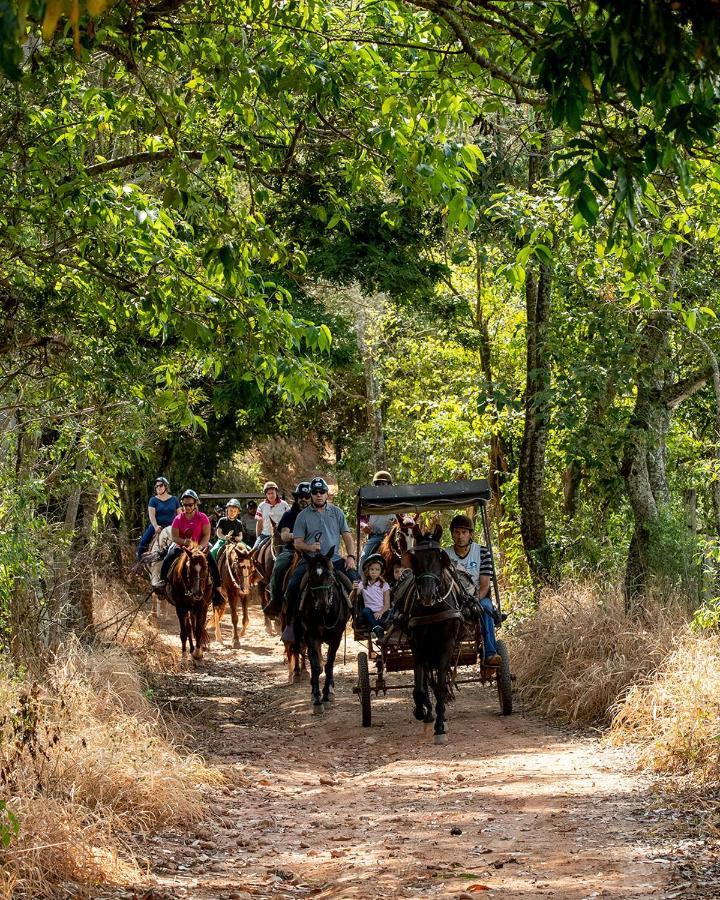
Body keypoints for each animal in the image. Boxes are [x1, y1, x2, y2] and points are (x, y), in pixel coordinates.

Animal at [296, 544, 352, 712]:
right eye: (310, 578)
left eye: (330, 576)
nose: (322, 604)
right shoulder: (311, 636)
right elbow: (316, 666)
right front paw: (316, 699)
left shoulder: (336, 637)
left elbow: (329, 664)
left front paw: (326, 695)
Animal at [404, 524, 462, 740]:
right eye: (415, 559)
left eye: (440, 557)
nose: (427, 595)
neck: (433, 609)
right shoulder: (417, 646)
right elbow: (420, 689)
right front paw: (421, 711)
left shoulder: (446, 644)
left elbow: (440, 688)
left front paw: (440, 726)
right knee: (428, 679)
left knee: (439, 682)